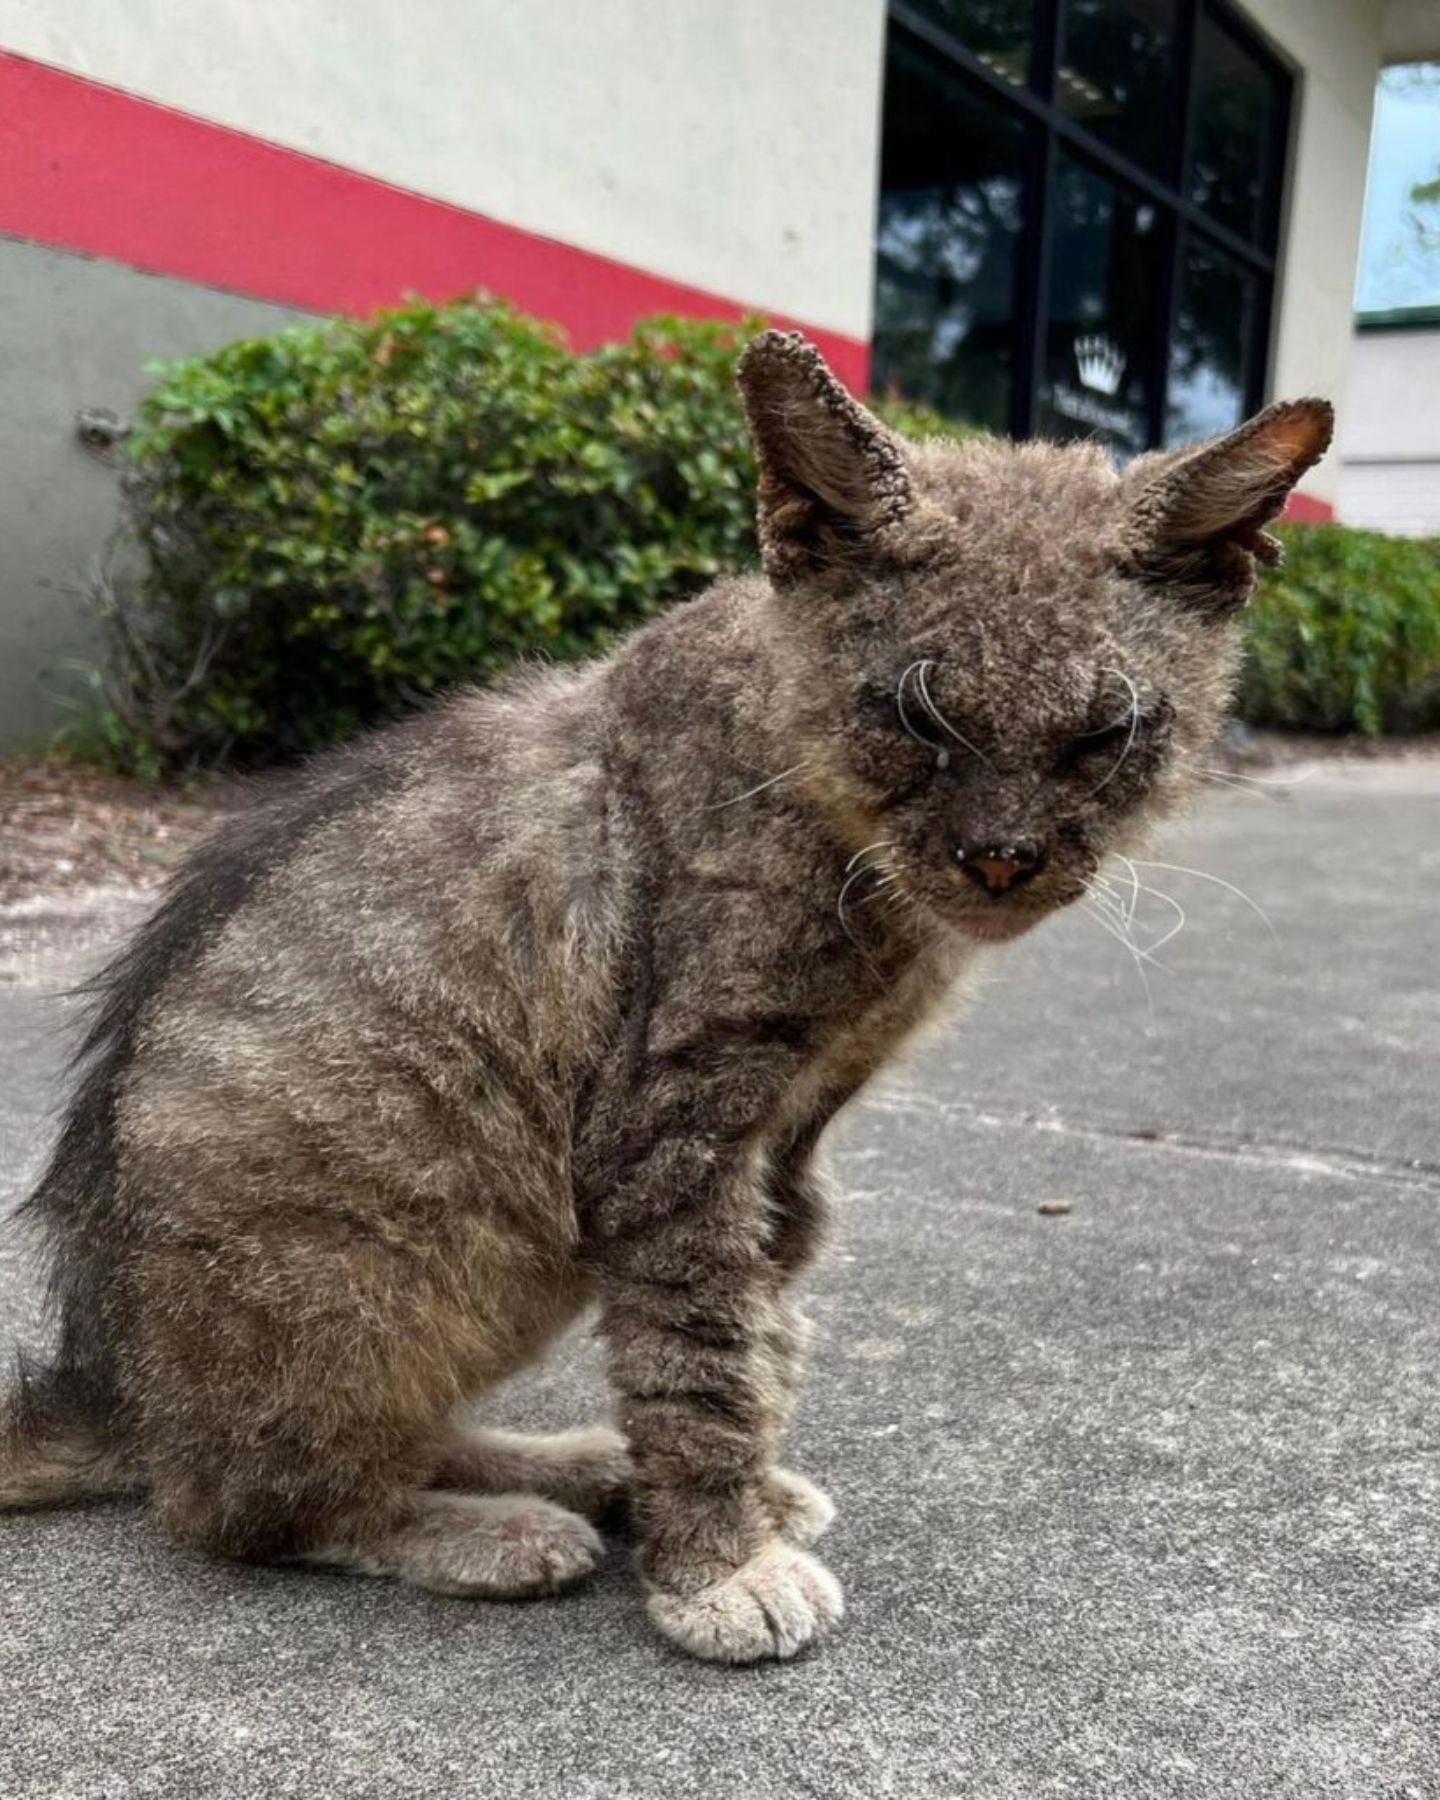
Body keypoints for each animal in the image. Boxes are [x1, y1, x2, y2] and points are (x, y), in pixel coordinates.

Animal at [0, 334, 1324, 1656]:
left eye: (1106, 735)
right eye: (910, 715)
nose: (1001, 856)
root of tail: (120, 1392)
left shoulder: (786, 1146)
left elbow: (763, 1332)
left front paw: (748, 1497)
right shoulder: (673, 1138)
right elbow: (699, 1355)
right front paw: (717, 1564)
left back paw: (569, 1466)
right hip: (390, 1267)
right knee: (240, 1506)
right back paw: (489, 1526)